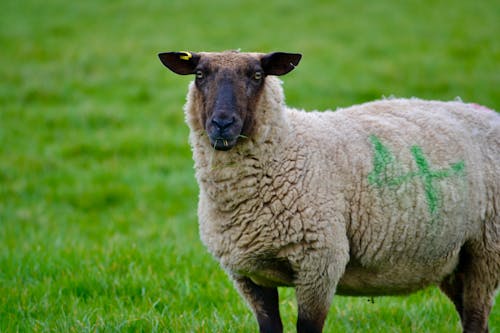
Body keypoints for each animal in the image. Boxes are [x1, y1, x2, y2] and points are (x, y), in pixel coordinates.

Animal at [157, 50, 500, 332]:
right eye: (200, 75)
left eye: (256, 76)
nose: (222, 124)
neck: (287, 149)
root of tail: (485, 111)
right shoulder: (247, 274)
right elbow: (270, 327)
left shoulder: (319, 263)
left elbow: (308, 327)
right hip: (455, 260)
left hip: (486, 248)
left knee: (476, 319)